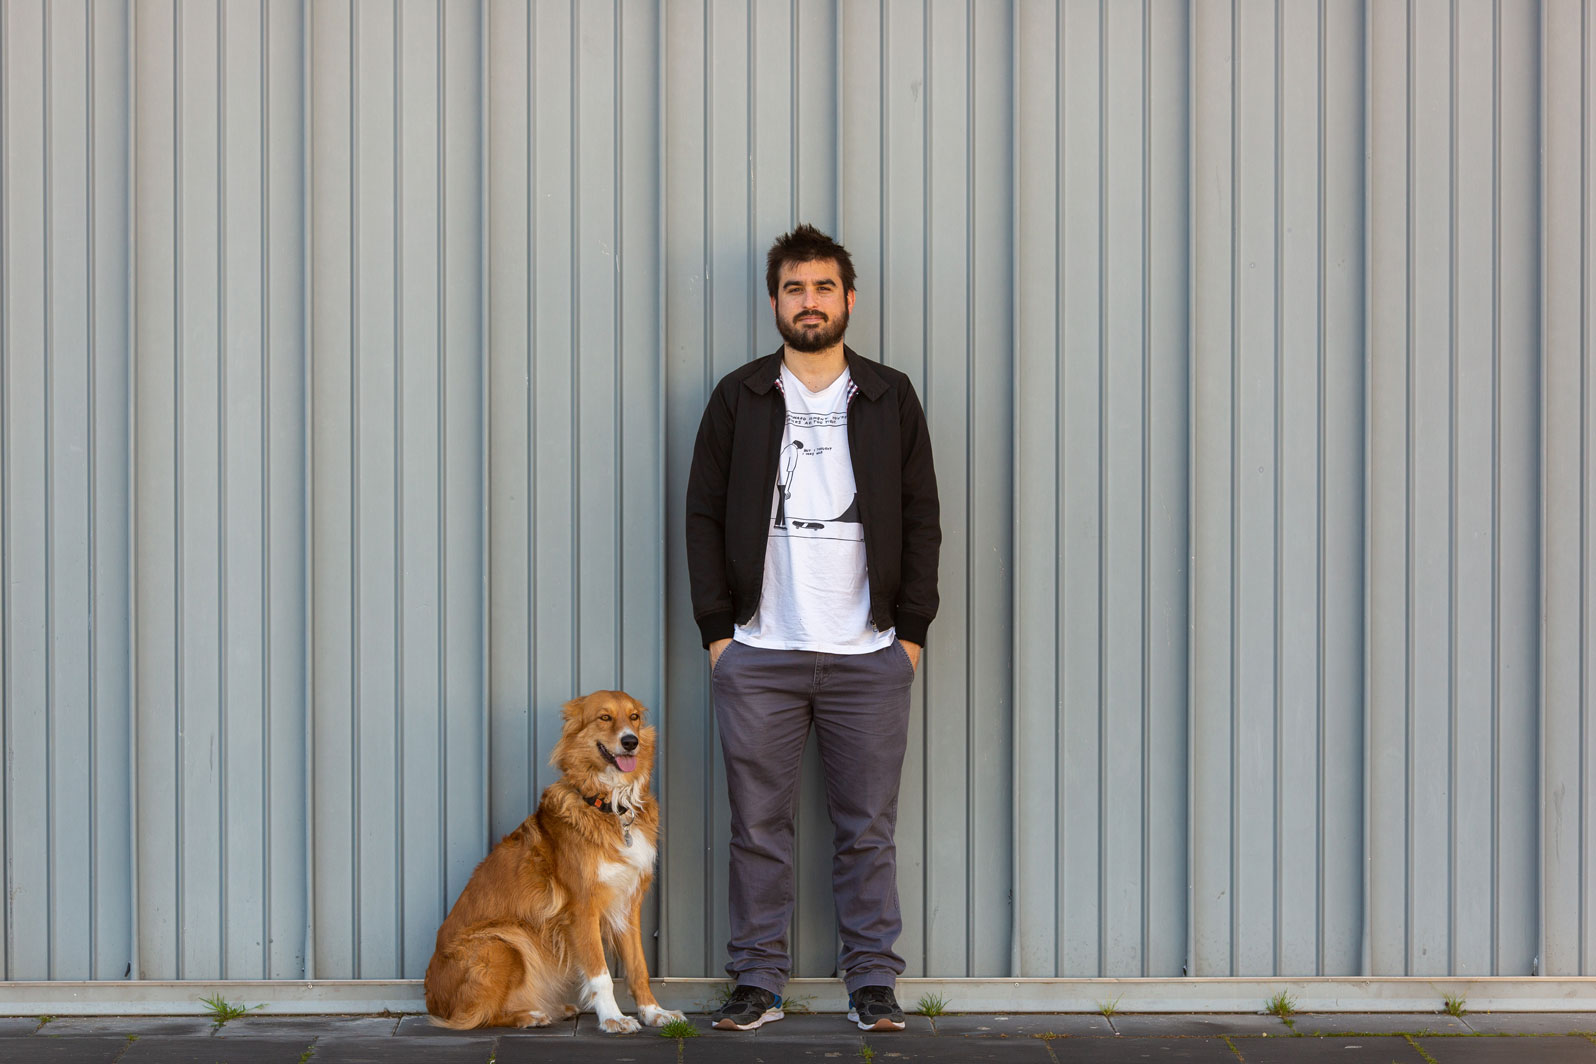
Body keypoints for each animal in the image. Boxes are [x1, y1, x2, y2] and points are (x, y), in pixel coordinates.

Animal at [421, 692, 683, 1033]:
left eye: (634, 717)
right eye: (604, 718)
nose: (630, 741)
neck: (610, 805)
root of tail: (432, 998)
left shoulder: (628, 904)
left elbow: (639, 967)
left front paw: (654, 1012)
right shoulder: (583, 908)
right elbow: (600, 974)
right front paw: (613, 1018)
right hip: (505, 942)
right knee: (477, 1016)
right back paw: (529, 1016)